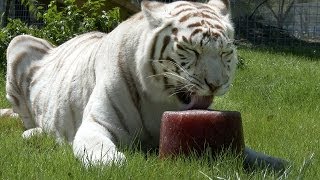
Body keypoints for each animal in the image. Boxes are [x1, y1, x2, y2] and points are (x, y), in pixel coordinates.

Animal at [2, 0, 286, 169]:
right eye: (191, 50)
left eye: (226, 52)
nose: (215, 84)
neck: (160, 101)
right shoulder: (96, 124)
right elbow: (98, 148)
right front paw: (113, 163)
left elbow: (253, 154)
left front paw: (279, 162)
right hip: (18, 42)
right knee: (25, 119)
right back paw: (35, 134)